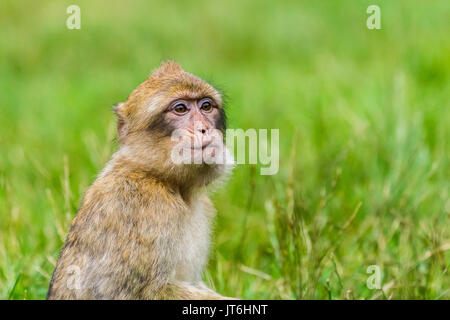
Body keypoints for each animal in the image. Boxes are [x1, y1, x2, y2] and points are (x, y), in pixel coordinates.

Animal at [46, 60, 236, 300]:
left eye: (206, 106)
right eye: (180, 109)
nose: (204, 128)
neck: (161, 178)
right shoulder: (147, 208)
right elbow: (148, 291)